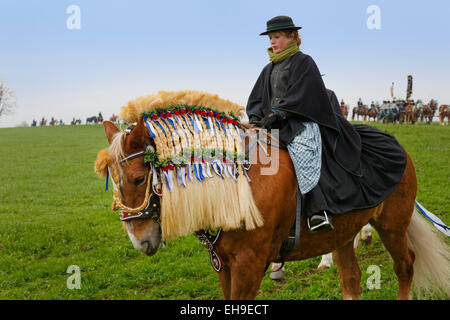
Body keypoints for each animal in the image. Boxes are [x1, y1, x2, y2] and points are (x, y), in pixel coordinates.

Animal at [97, 115, 450, 300]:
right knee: (351, 278)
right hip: (343, 233)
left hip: (392, 225)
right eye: (112, 180)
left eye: (139, 179)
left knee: (405, 266)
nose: (140, 240)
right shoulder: (224, 265)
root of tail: (397, 144)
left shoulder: (250, 265)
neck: (235, 186)